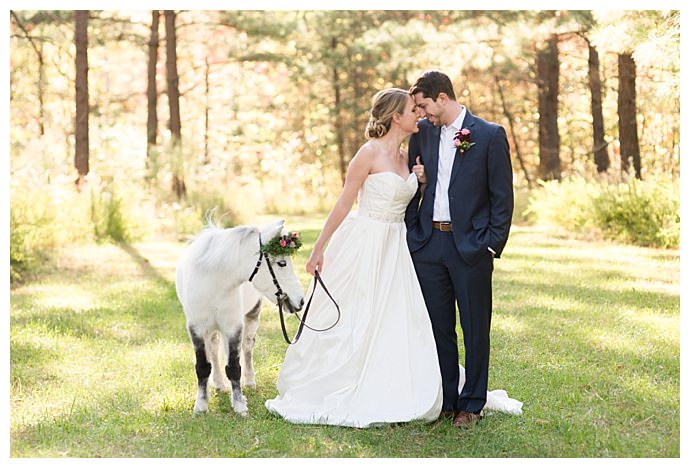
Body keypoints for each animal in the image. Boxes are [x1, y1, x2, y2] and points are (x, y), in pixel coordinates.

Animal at [173, 220, 302, 416]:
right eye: (281, 263)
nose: (300, 300)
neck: (213, 282)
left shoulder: (233, 327)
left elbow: (234, 367)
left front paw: (239, 405)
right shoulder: (196, 328)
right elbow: (202, 366)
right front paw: (201, 405)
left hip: (251, 317)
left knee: (246, 348)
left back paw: (248, 382)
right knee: (214, 350)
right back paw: (219, 384)